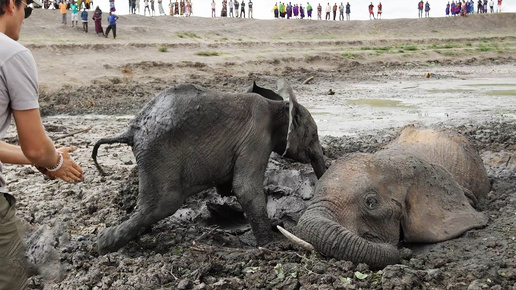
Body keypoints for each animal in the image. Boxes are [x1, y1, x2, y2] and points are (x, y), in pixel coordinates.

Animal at [92, 78, 326, 254]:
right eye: (313, 135)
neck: (276, 106)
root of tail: (131, 130)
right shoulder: (256, 137)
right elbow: (245, 188)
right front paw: (271, 246)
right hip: (158, 154)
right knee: (164, 203)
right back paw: (103, 244)